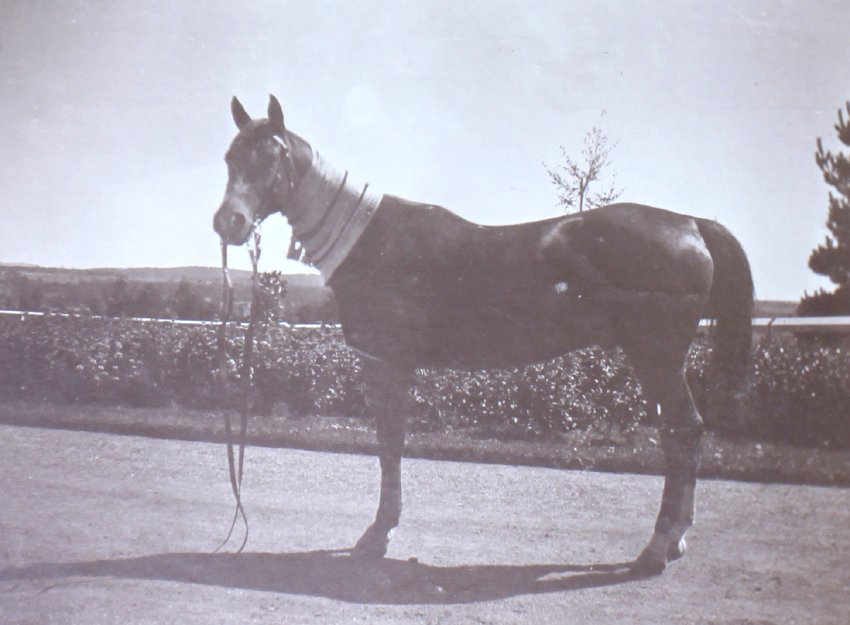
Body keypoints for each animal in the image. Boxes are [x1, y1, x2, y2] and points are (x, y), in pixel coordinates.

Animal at [213, 95, 753, 576]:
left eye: (273, 156)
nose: (228, 223)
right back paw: (674, 539)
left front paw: (377, 535)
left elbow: (390, 444)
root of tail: (691, 225)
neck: (373, 239)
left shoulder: (385, 362)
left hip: (656, 357)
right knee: (680, 435)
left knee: (683, 432)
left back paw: (658, 548)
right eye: (230, 157)